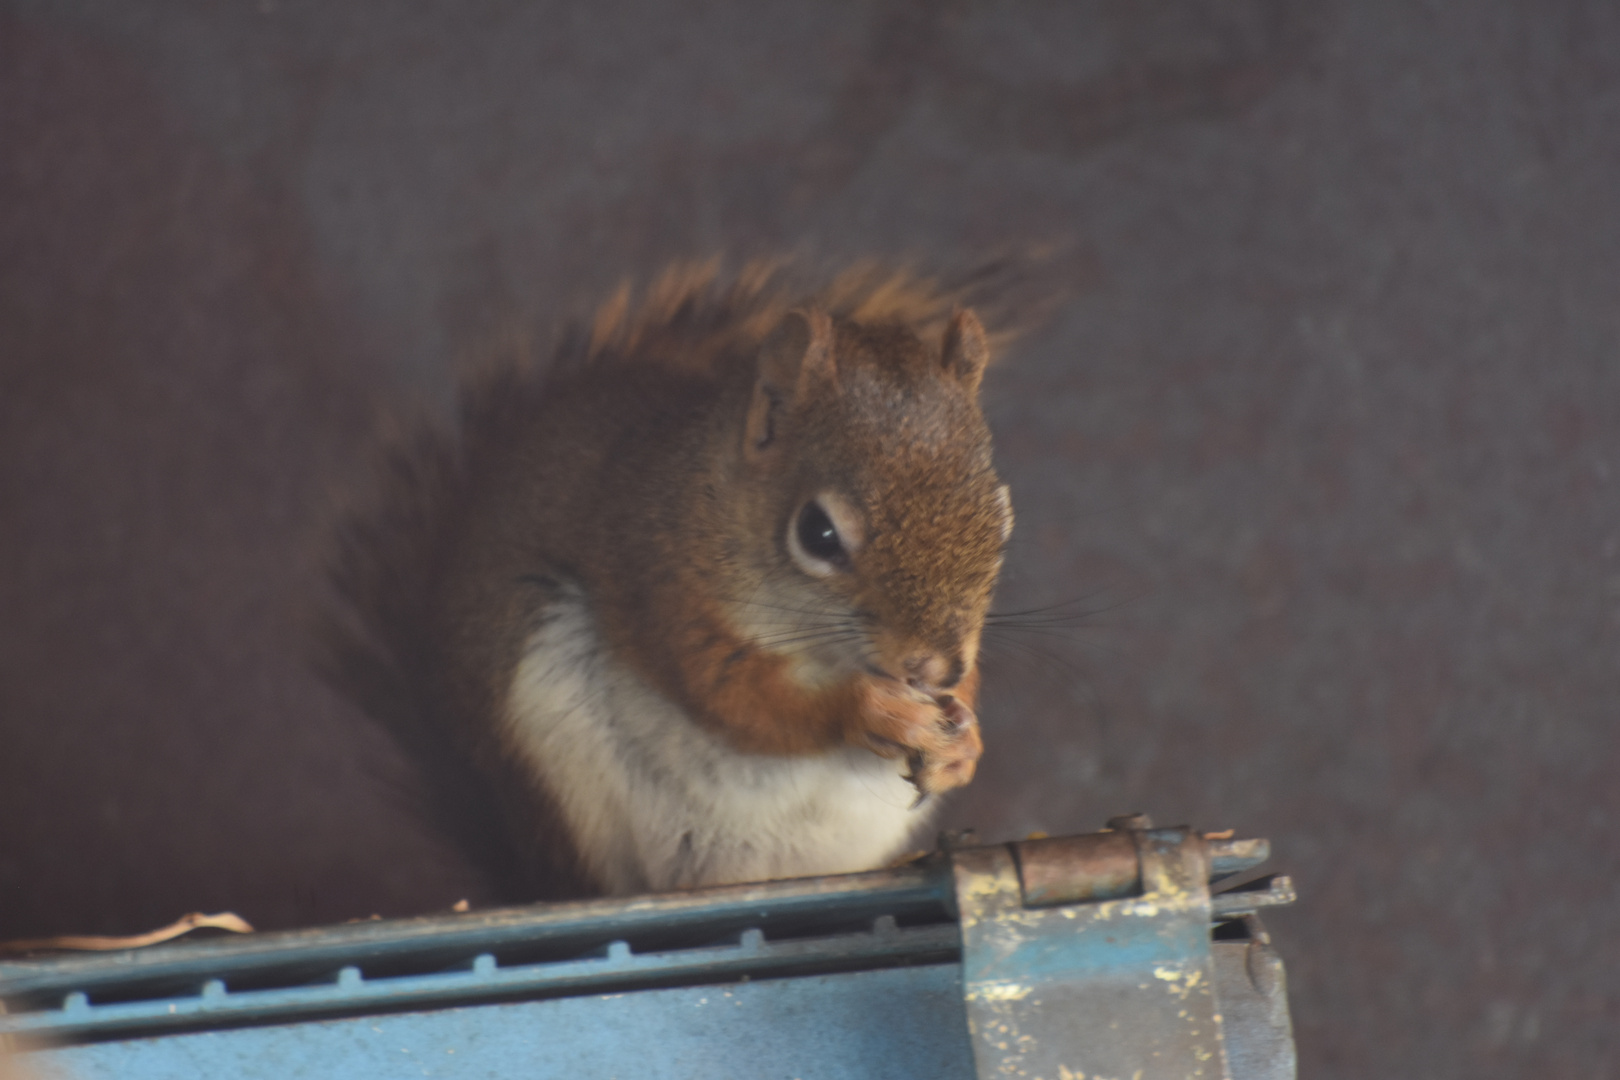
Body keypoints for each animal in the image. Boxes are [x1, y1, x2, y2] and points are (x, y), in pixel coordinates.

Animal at [322, 263, 1010, 906]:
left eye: (1003, 520)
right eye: (817, 533)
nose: (936, 668)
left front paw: (966, 740)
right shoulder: (658, 580)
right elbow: (738, 697)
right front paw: (870, 708)